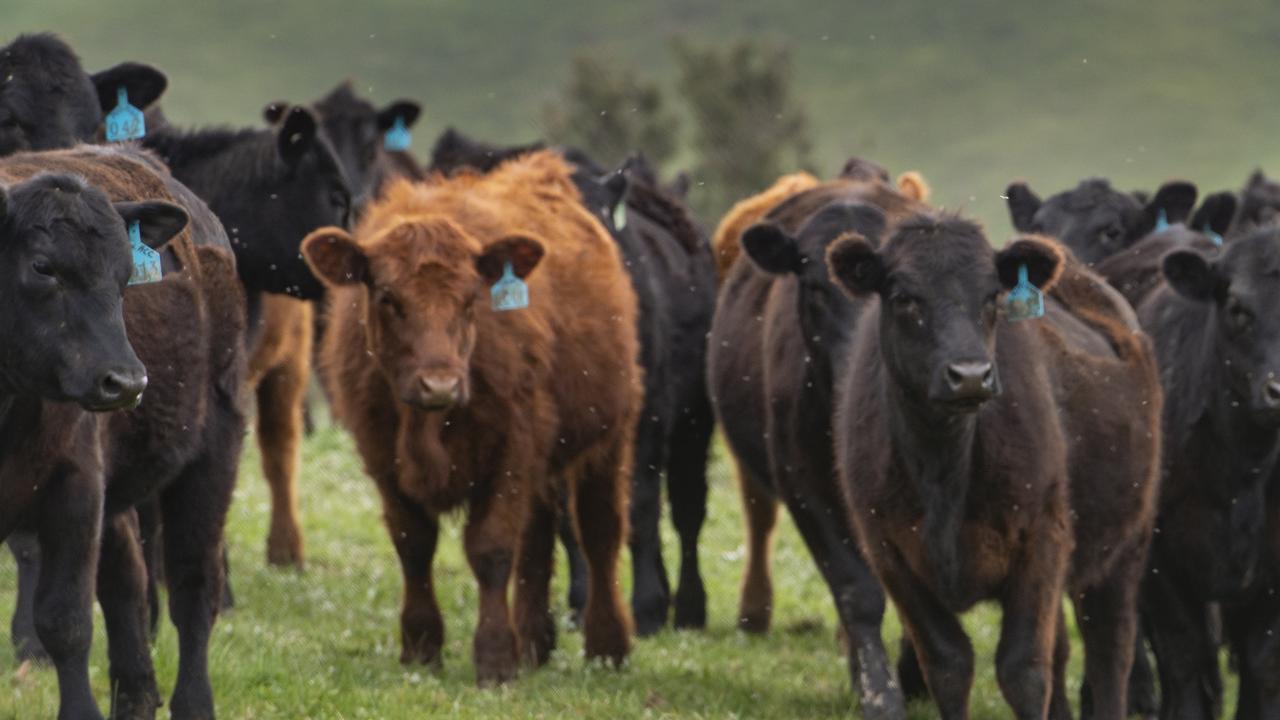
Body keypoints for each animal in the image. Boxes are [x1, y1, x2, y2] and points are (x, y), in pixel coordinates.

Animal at [304, 148, 634, 681]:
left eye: (470, 297)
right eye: (388, 298)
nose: (439, 383)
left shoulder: (512, 447)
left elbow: (492, 548)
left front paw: (495, 658)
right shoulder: (381, 455)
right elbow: (414, 544)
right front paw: (421, 645)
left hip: (608, 436)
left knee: (600, 532)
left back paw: (608, 646)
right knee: (537, 539)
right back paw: (534, 641)